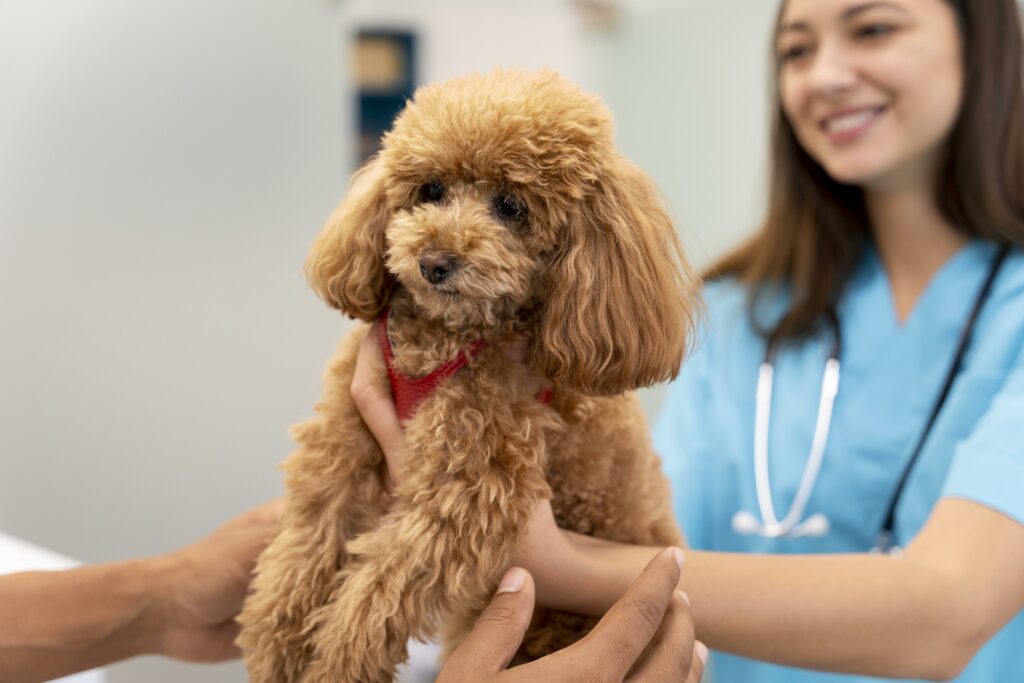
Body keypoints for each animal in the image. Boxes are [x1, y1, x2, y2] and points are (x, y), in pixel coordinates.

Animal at [234, 66, 696, 679]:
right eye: (431, 190)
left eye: (511, 206)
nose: (434, 261)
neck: (442, 339)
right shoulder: (342, 439)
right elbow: (309, 537)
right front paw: (279, 645)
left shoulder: (467, 488)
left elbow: (380, 589)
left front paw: (335, 663)